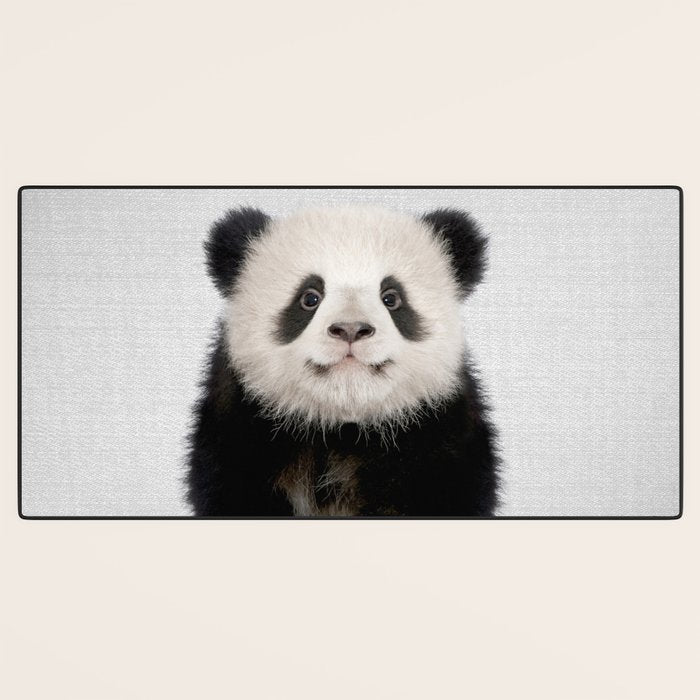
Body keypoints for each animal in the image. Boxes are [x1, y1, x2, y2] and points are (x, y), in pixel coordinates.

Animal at [186, 205, 499, 516]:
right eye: (309, 297)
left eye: (391, 298)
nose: (351, 329)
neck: (342, 431)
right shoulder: (240, 434)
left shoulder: (440, 439)